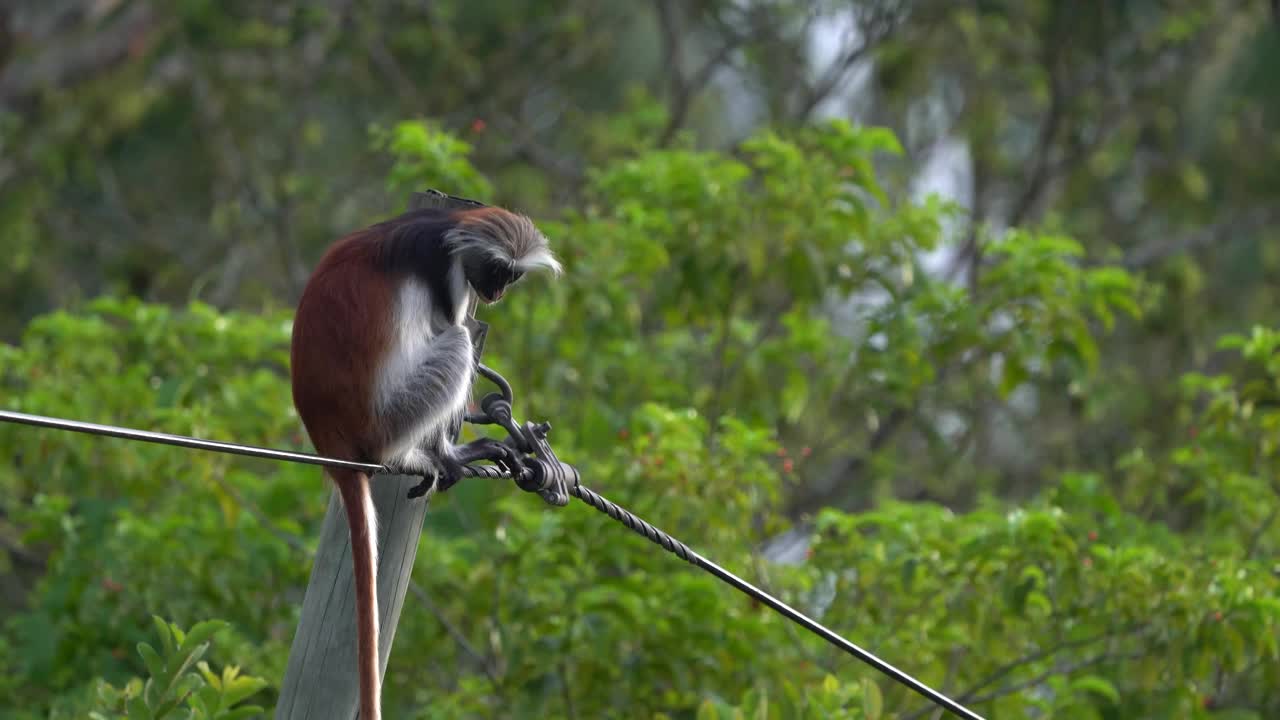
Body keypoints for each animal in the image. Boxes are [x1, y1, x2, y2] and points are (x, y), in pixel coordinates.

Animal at [290, 202, 560, 717]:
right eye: (497, 272)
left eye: (511, 277)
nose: (496, 294)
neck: (447, 225)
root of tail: (330, 439)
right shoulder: (445, 272)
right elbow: (448, 325)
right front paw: (450, 454)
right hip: (391, 417)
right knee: (456, 340)